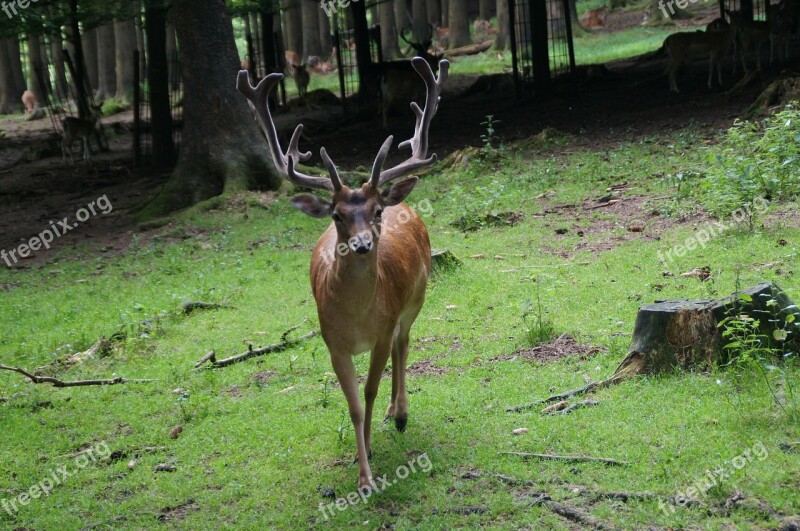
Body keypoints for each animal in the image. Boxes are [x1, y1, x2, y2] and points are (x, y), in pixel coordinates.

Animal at [238, 58, 450, 490]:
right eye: (337, 215)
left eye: (376, 211)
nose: (364, 244)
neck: (357, 321)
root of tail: (408, 204)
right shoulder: (332, 342)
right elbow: (353, 405)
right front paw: (362, 467)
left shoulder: (381, 331)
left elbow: (369, 391)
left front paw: (369, 460)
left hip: (416, 301)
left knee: (405, 344)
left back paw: (400, 413)